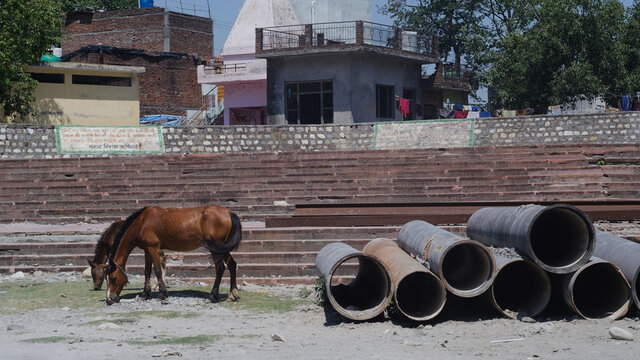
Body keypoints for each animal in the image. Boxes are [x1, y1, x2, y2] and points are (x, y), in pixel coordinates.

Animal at [107, 207, 242, 306]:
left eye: (113, 278)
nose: (110, 299)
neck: (142, 222)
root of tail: (228, 213)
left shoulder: (153, 248)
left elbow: (157, 271)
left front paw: (162, 295)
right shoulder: (147, 250)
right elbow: (147, 271)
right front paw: (145, 295)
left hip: (216, 249)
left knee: (220, 269)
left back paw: (212, 296)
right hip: (222, 249)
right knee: (232, 264)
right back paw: (232, 294)